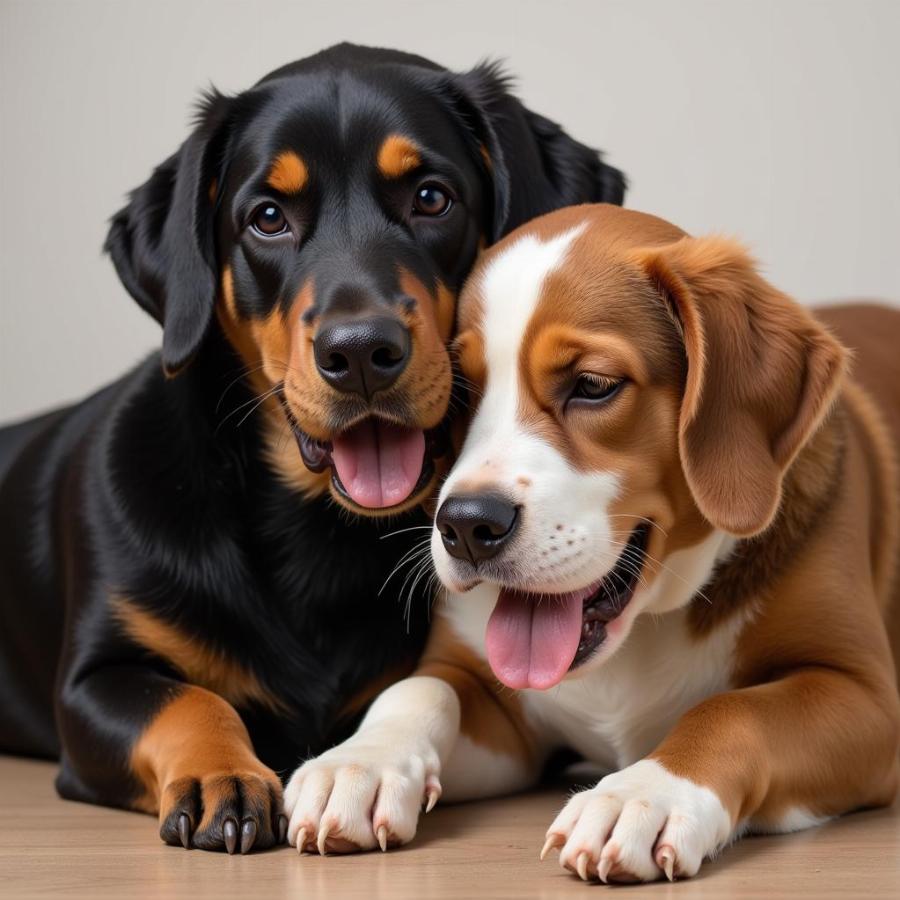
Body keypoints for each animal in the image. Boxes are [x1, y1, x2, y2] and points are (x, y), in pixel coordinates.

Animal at [0, 44, 624, 852]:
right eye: (267, 217)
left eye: (432, 198)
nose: (359, 351)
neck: (315, 534)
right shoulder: (93, 681)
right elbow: (190, 700)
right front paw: (221, 773)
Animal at [284, 202, 900, 880]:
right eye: (458, 393)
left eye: (593, 384)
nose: (466, 527)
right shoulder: (505, 720)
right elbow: (419, 686)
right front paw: (360, 761)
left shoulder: (863, 696)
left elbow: (733, 711)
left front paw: (642, 794)